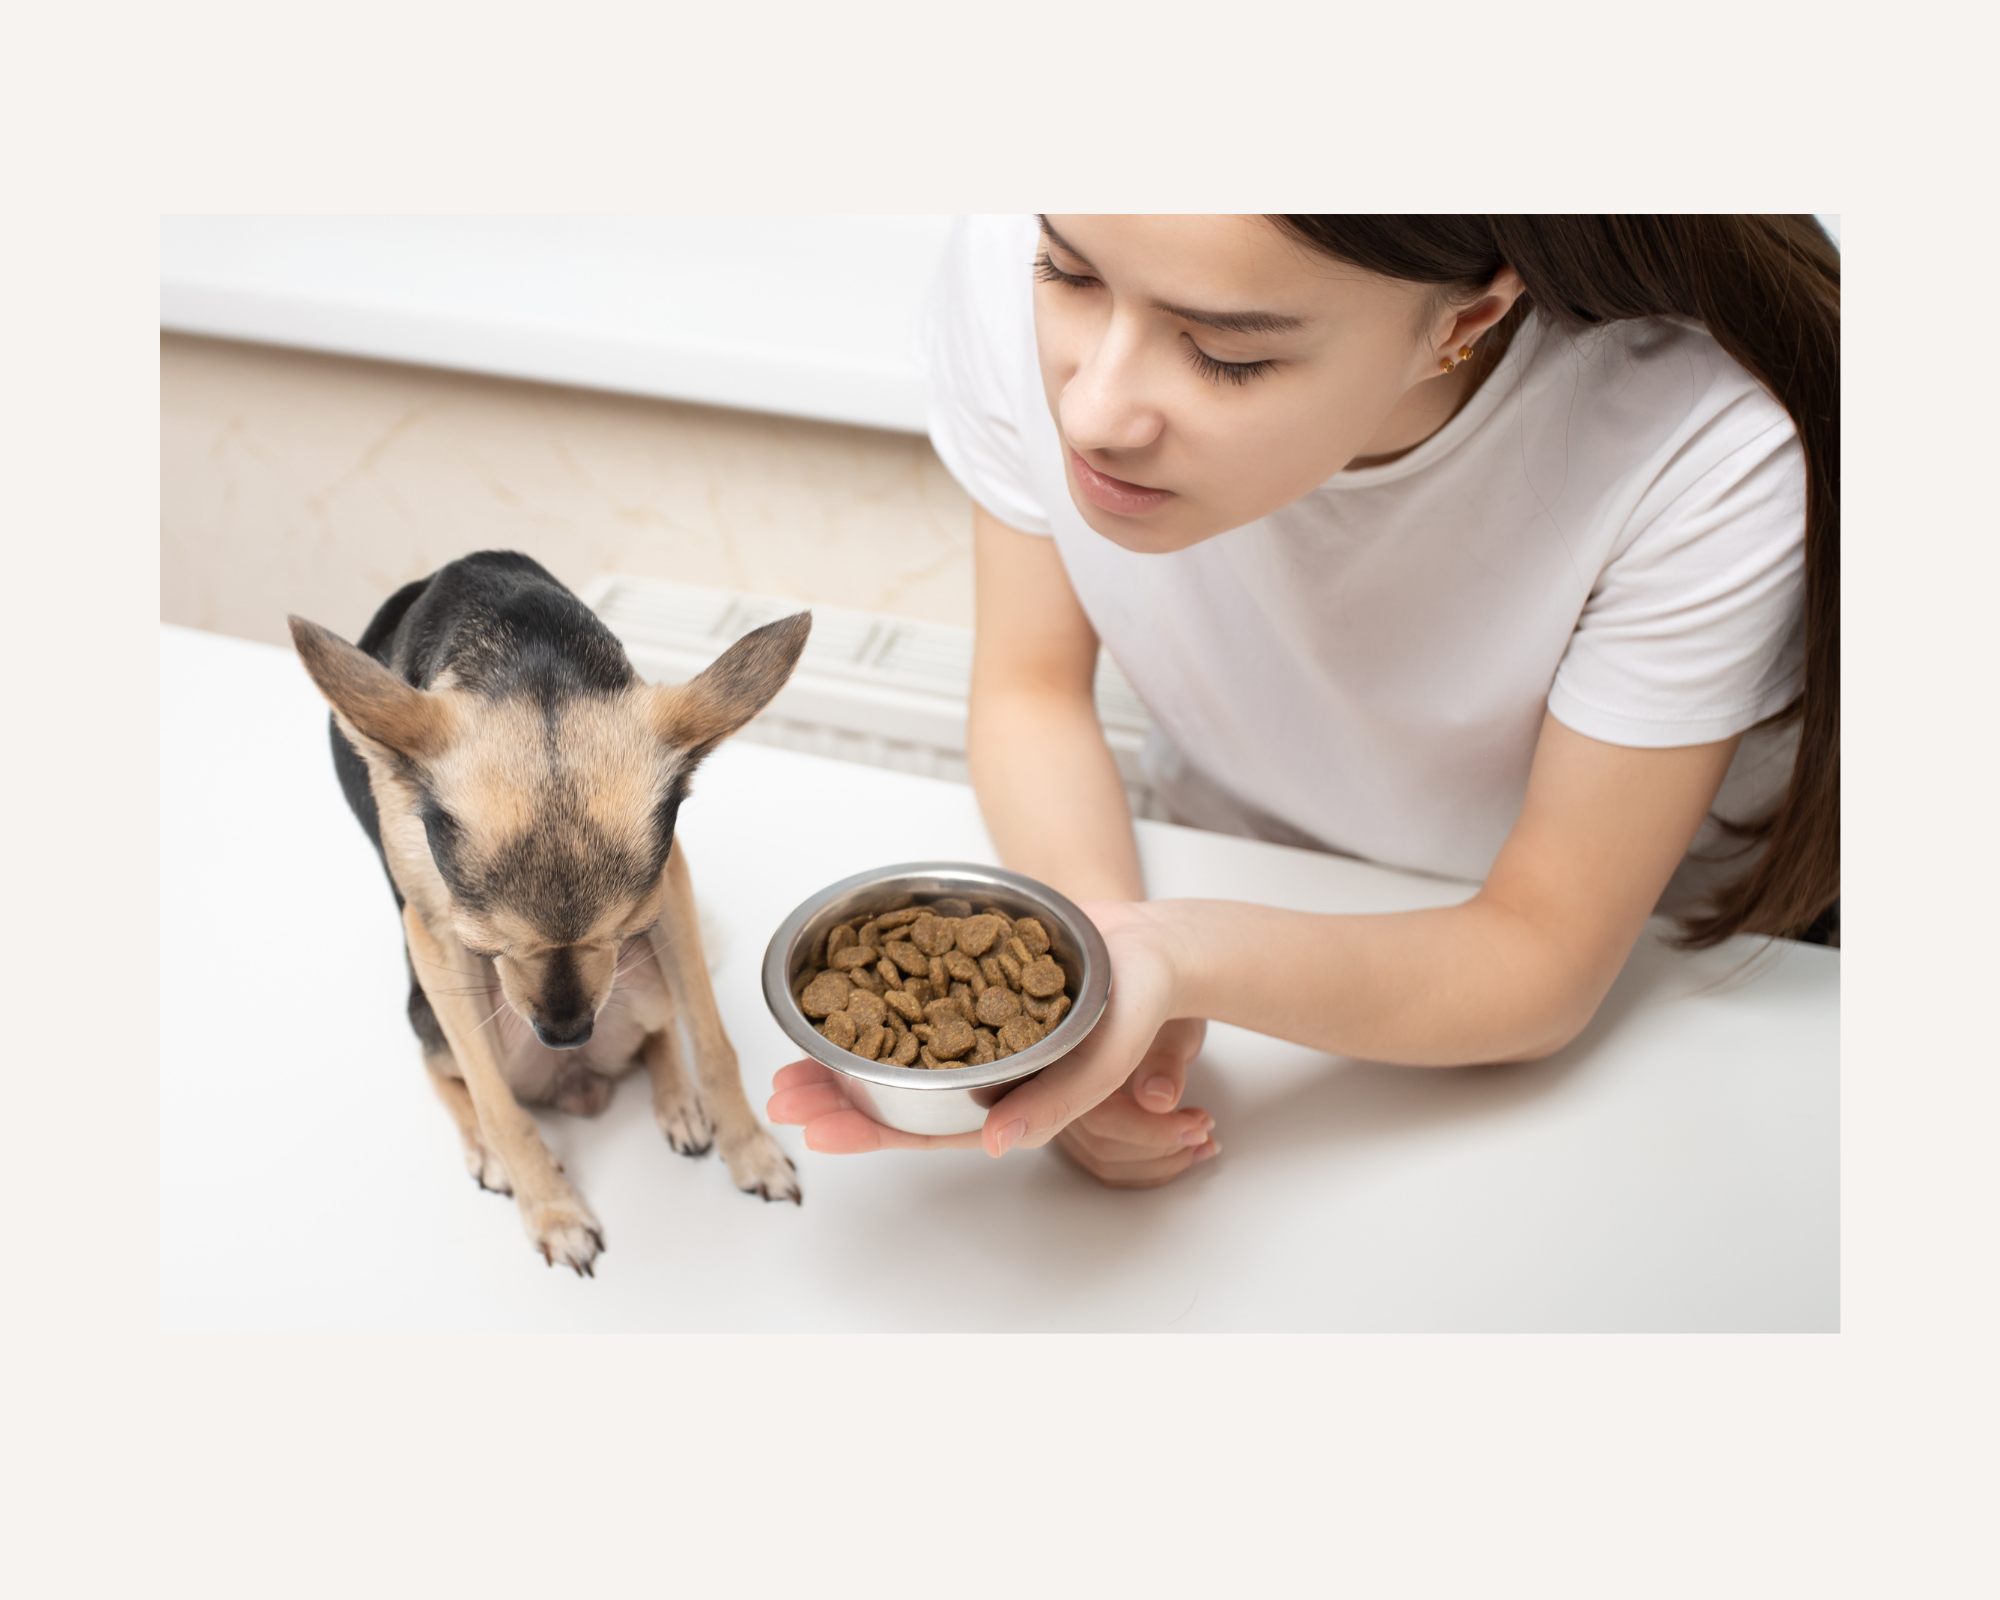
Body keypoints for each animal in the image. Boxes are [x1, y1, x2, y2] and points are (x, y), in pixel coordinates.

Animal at [290, 552, 804, 1272]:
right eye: (485, 943)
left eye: (628, 927)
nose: (567, 1035)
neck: (529, 660)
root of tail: (579, 1084)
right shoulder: (436, 934)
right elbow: (498, 1106)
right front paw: (553, 1211)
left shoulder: (669, 886)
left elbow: (711, 1038)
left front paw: (749, 1149)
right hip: (433, 1011)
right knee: (447, 1072)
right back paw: (485, 1149)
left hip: (645, 982)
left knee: (661, 1031)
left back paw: (678, 1102)